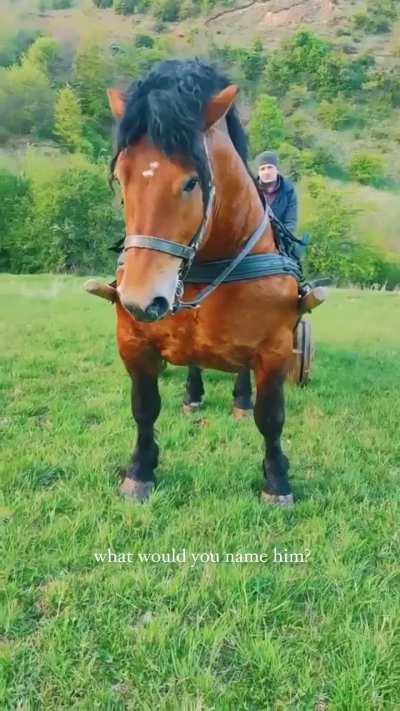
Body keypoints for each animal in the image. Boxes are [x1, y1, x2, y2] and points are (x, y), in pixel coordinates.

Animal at [105, 59, 306, 507]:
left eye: (191, 181)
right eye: (121, 179)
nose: (141, 299)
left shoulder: (276, 350)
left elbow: (272, 417)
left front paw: (277, 481)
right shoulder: (133, 342)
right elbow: (144, 407)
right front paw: (140, 471)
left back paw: (241, 399)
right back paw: (194, 395)